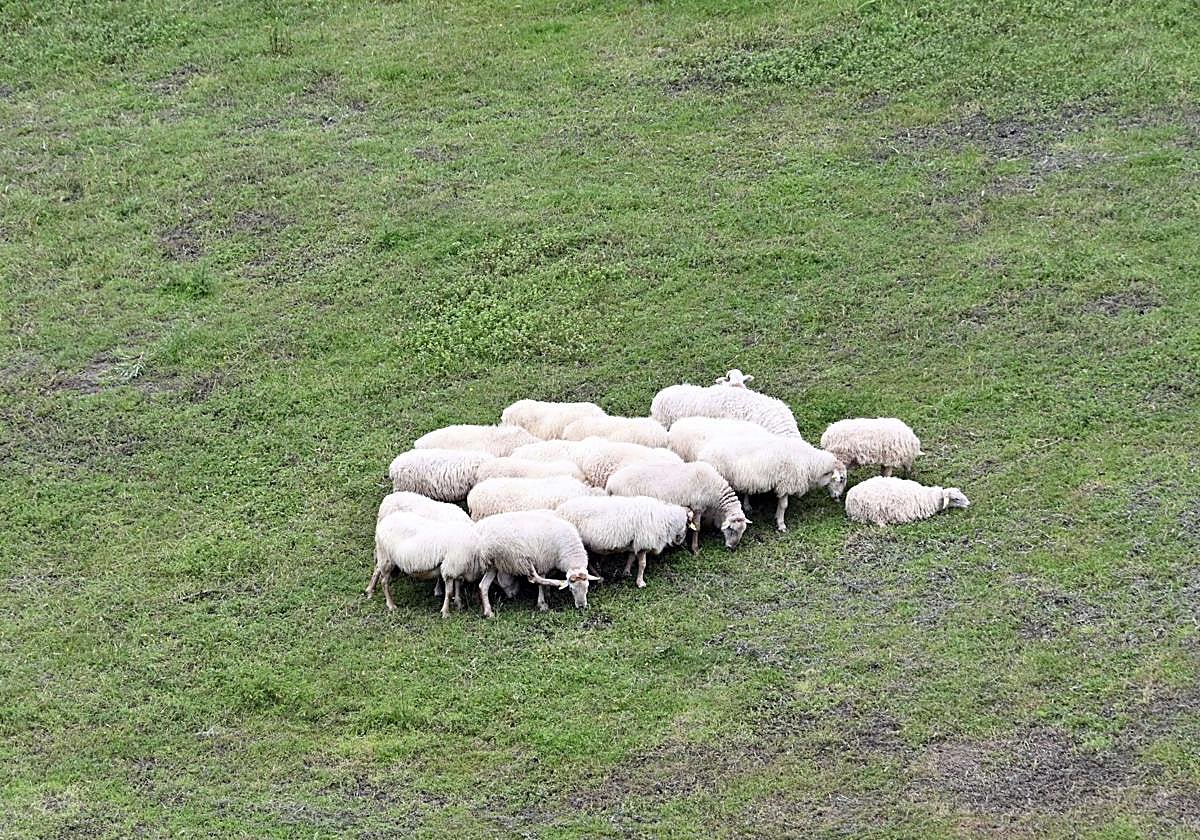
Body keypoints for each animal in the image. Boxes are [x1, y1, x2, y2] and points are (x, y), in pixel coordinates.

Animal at [455, 510, 600, 617]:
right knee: (533, 577)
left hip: (494, 563)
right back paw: (555, 583)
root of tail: (480, 537)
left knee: (483, 586)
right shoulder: (543, 561)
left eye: (587, 587)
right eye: (571, 589)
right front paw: (542, 602)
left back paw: (488, 612)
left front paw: (547, 594)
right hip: (517, 558)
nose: (581, 606)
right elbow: (541, 582)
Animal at [555, 496, 698, 589]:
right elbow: (642, 564)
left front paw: (627, 572)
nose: (680, 542)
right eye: (688, 523)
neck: (664, 518)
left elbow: (631, 557)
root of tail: (558, 510)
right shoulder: (643, 542)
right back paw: (599, 578)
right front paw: (640, 582)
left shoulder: (634, 542)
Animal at [606, 461, 749, 553]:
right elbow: (697, 528)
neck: (714, 488)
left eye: (742, 531)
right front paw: (695, 549)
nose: (731, 548)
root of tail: (611, 483)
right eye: (731, 529)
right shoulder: (697, 507)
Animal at [694, 437, 847, 532]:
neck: (809, 462)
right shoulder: (786, 483)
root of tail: (703, 453)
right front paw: (781, 524)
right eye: (841, 478)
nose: (837, 497)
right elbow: (784, 505)